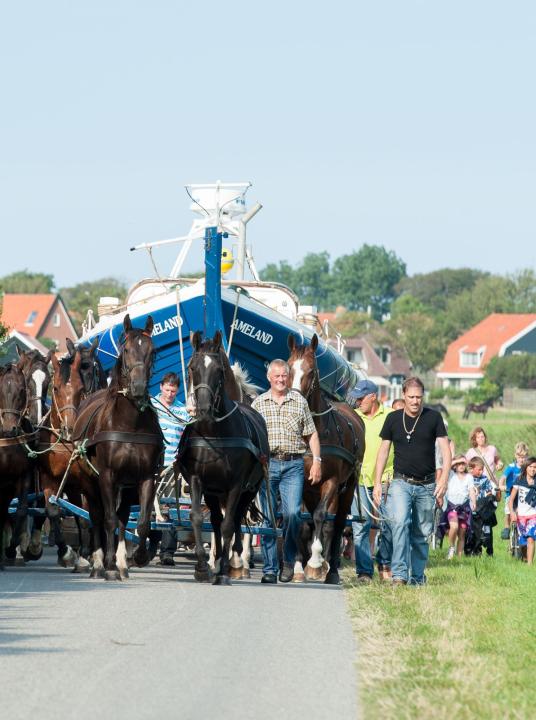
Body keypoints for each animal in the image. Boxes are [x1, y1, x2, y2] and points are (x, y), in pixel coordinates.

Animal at [71, 316, 163, 580]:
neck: (130, 423)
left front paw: (137, 557)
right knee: (97, 516)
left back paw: (120, 562)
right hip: (90, 484)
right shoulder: (107, 476)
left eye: (152, 351)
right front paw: (107, 565)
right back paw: (100, 563)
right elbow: (108, 520)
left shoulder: (145, 477)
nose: (139, 387)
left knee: (122, 518)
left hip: (126, 486)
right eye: (126, 350)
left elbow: (140, 522)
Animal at [175, 332, 268, 584]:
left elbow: (228, 525)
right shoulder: (197, 480)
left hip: (249, 490)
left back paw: (233, 562)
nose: (203, 408)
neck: (213, 433)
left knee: (235, 519)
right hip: (214, 492)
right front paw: (202, 567)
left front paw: (226, 569)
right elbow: (198, 518)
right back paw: (216, 561)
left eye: (219, 370)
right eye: (192, 367)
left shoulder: (236, 484)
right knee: (216, 520)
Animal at [288, 332, 364, 584]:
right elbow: (303, 522)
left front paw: (315, 561)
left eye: (311, 370)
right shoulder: (301, 482)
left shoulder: (331, 481)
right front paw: (299, 567)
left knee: (336, 523)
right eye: (289, 367)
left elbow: (322, 517)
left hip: (346, 487)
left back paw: (331, 569)